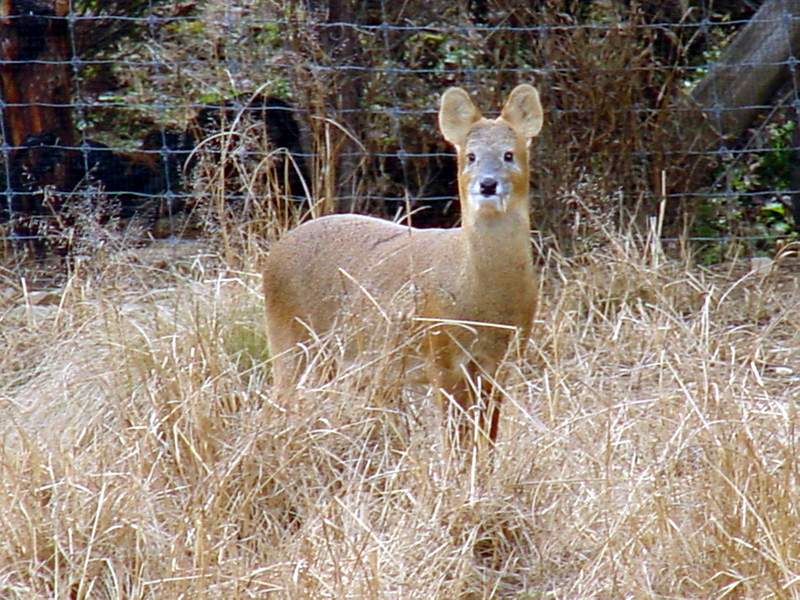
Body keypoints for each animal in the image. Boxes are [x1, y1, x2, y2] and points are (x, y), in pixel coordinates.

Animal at [262, 84, 544, 458]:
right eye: (470, 156)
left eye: (509, 154)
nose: (487, 184)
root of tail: (274, 254)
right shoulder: (441, 353)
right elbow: (454, 437)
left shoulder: (501, 361)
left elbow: (486, 437)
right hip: (290, 339)